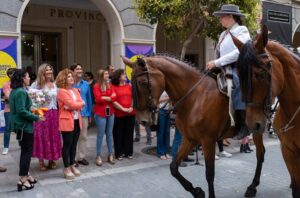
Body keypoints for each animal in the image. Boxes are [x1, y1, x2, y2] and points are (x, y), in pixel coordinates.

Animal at [122, 55, 264, 197]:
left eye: (143, 83)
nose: (142, 120)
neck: (195, 98)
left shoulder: (208, 141)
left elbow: (209, 174)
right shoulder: (190, 138)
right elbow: (173, 167)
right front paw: (197, 191)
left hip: (258, 129)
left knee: (260, 154)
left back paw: (252, 187)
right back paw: (252, 187)